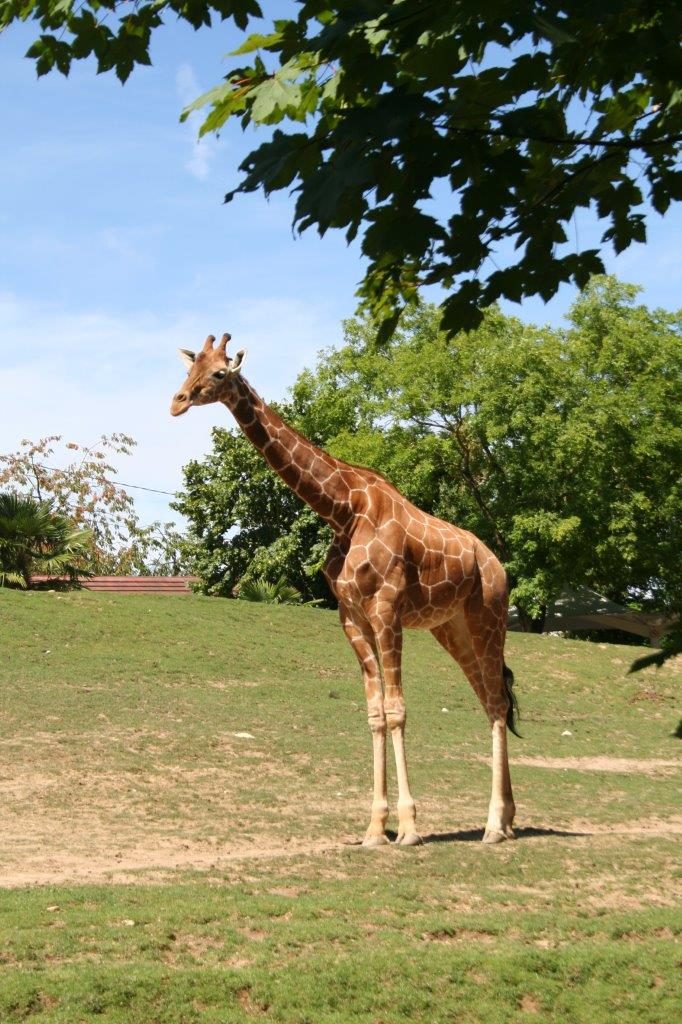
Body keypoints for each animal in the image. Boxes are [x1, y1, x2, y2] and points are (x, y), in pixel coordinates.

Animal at [169, 331, 516, 843]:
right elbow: (374, 713)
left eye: (218, 373)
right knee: (493, 701)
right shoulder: (351, 615)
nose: (176, 402)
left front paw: (408, 827)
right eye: (188, 369)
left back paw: (494, 825)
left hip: (488, 616)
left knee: (495, 699)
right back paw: (506, 821)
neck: (342, 510)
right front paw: (374, 828)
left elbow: (396, 709)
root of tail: (498, 566)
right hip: (451, 626)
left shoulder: (387, 608)